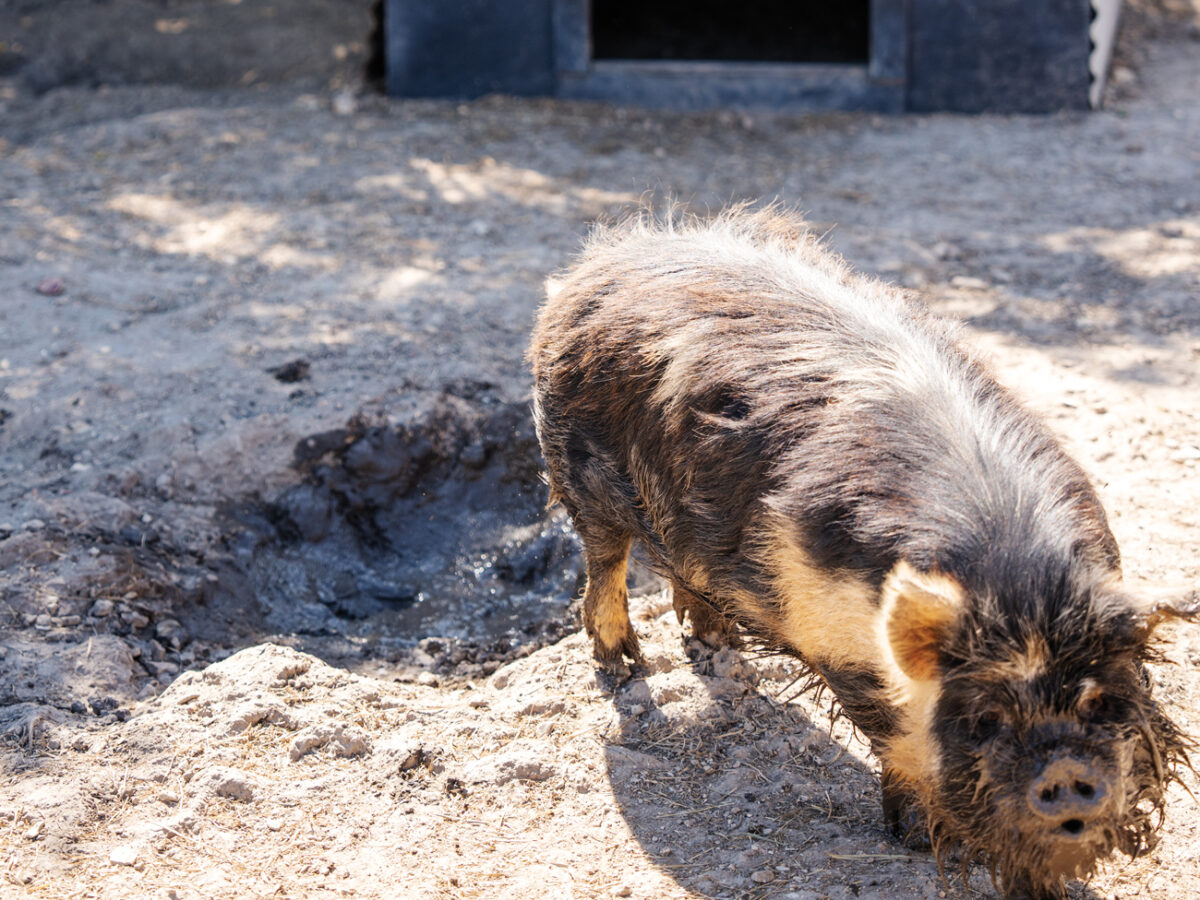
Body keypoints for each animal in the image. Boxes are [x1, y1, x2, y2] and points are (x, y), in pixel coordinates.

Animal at [527, 207, 1195, 898]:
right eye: (984, 717)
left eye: (1097, 701)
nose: (1065, 770)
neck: (1015, 585)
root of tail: (597, 263)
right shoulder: (841, 643)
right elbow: (897, 737)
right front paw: (921, 840)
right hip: (576, 464)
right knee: (606, 561)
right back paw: (623, 665)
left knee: (681, 571)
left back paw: (718, 644)